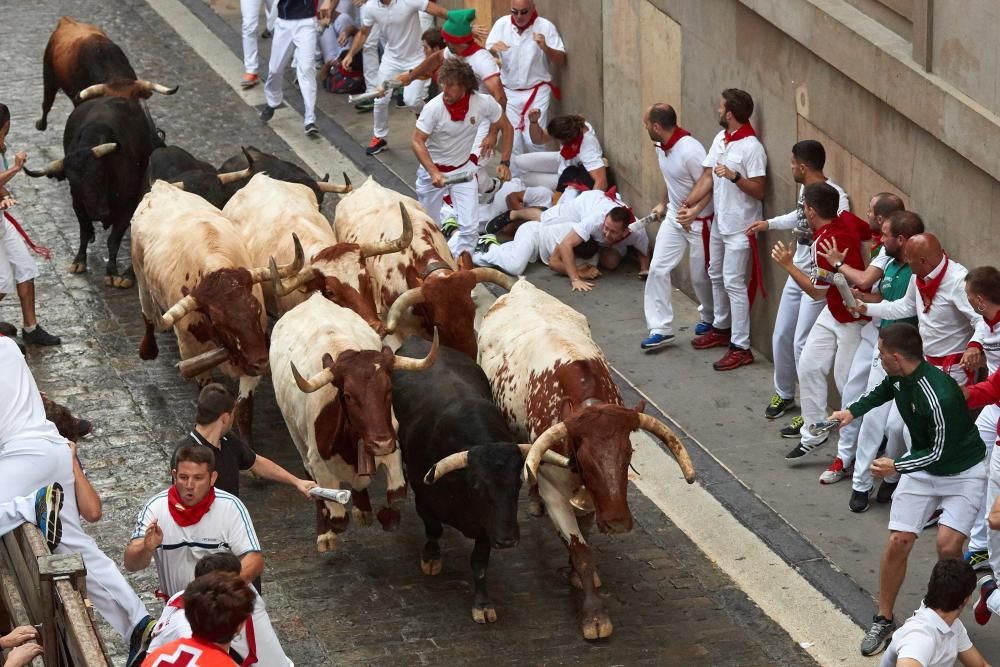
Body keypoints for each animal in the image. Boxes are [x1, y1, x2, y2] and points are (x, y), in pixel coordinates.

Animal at [23, 96, 162, 288]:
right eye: (72, 181)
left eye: (100, 173)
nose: (99, 213)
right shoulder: (78, 205)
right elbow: (84, 231)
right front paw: (79, 260)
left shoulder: (128, 206)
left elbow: (113, 240)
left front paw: (112, 272)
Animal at [476, 278, 696, 640]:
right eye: (585, 457)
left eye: (629, 453)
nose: (618, 522)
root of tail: (521, 286)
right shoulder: (554, 489)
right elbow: (581, 549)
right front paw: (594, 615)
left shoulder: (595, 499)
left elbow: (587, 535)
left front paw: (579, 576)